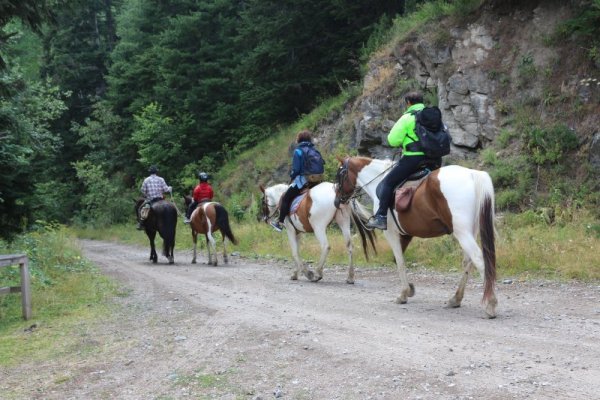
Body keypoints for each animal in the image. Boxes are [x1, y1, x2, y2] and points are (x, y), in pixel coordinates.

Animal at [332, 157, 496, 318]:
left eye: (340, 175)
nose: (337, 201)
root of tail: (472, 174)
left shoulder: (391, 233)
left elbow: (400, 262)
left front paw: (404, 294)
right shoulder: (406, 235)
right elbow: (397, 260)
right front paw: (410, 288)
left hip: (462, 232)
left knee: (478, 259)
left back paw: (490, 304)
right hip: (470, 231)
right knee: (468, 262)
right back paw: (456, 299)